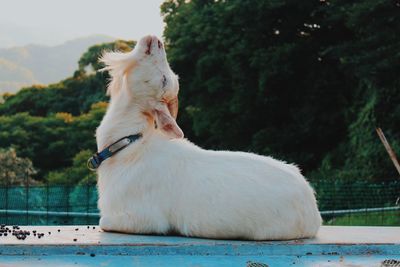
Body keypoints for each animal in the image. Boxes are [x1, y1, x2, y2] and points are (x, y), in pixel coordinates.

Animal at [94, 35, 322, 241]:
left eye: (165, 80)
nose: (155, 40)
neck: (130, 147)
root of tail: (313, 209)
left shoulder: (143, 218)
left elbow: (103, 221)